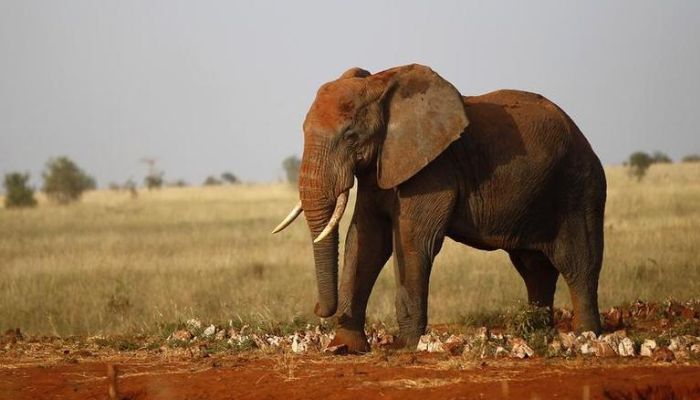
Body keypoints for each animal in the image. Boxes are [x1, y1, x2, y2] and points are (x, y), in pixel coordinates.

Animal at [274, 63, 608, 354]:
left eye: (350, 136)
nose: (318, 309)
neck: (382, 85)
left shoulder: (433, 169)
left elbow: (412, 240)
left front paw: (407, 345)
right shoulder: (380, 166)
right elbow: (365, 239)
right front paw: (345, 347)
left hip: (580, 187)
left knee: (578, 262)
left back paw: (586, 334)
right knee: (534, 268)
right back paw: (538, 331)